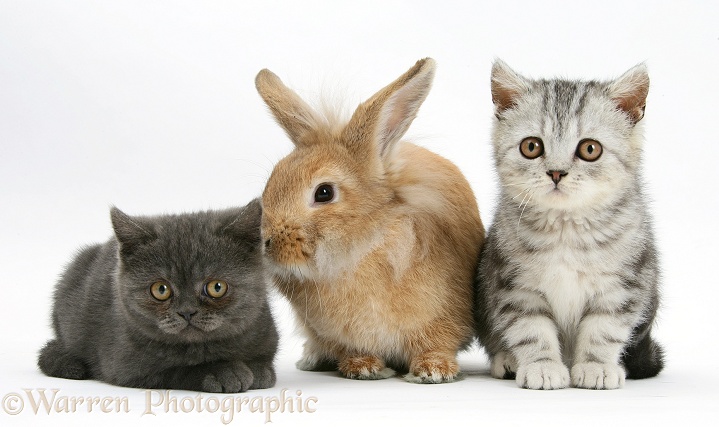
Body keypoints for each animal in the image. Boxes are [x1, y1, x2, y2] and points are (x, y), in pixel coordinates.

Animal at [35, 201, 278, 394]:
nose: (187, 311)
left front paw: (258, 371)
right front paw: (224, 372)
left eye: (216, 287)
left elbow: (262, 361)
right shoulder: (126, 366)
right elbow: (177, 370)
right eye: (161, 290)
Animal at [256, 57, 486, 384]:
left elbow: (436, 344)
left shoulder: (445, 316)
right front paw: (362, 367)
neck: (364, 248)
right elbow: (352, 349)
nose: (267, 241)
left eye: (324, 192)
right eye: (270, 184)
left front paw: (434, 371)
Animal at [476, 59, 668, 392]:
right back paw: (508, 360)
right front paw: (542, 366)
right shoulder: (514, 285)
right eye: (531, 146)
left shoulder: (622, 285)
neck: (566, 228)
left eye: (590, 149)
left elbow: (603, 329)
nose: (556, 172)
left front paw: (596, 367)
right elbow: (531, 329)